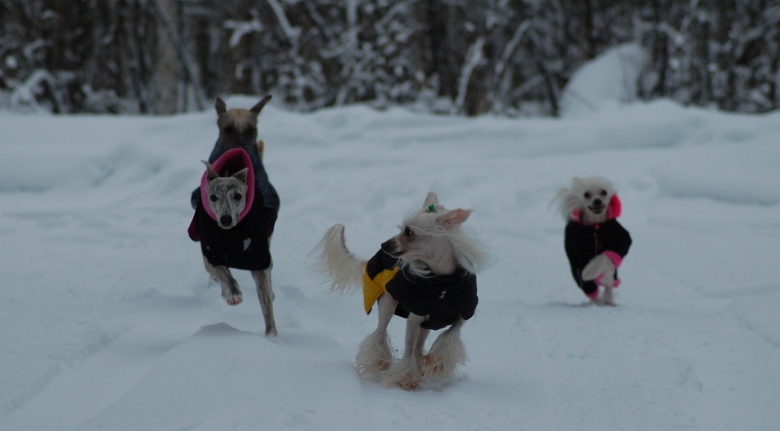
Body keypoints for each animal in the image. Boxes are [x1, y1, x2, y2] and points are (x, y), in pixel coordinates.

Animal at [188, 96, 279, 336]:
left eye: (238, 196)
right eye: (213, 197)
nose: (226, 220)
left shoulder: (260, 258)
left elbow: (267, 303)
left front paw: (273, 338)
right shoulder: (210, 254)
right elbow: (221, 272)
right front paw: (232, 292)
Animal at [314, 192, 487, 389]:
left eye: (409, 231)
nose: (383, 244)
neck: (443, 283)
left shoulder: (460, 317)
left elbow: (448, 336)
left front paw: (435, 367)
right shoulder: (414, 316)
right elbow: (409, 349)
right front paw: (407, 378)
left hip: (426, 324)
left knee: (418, 347)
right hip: (388, 302)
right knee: (380, 334)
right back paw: (381, 364)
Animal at [554, 177, 632, 306]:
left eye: (604, 192)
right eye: (586, 194)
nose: (597, 201)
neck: (595, 224)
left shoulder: (619, 238)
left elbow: (605, 257)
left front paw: (597, 273)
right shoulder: (578, 249)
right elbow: (587, 269)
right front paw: (589, 273)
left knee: (608, 286)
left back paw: (609, 301)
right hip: (577, 274)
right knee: (590, 289)